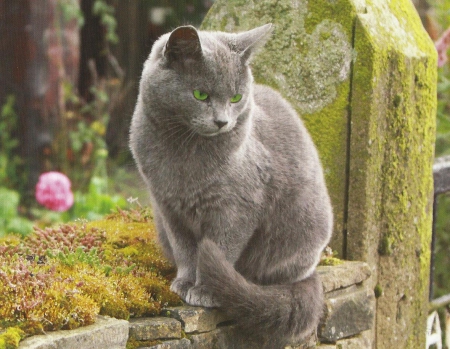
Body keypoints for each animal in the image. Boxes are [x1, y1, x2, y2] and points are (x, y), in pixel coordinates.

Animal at [128, 23, 332, 346]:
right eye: (200, 94)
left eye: (236, 98)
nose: (222, 121)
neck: (184, 153)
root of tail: (310, 274)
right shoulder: (168, 207)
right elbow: (184, 248)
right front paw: (184, 282)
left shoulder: (237, 207)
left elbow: (222, 248)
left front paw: (205, 290)